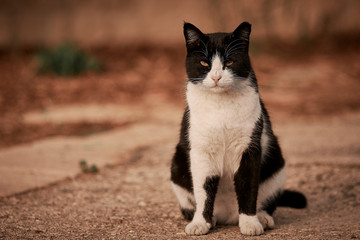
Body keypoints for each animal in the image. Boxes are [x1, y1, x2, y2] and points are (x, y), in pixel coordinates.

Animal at [170, 21, 306, 235]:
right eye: (204, 63)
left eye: (230, 62)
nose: (216, 77)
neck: (221, 106)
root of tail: (228, 217)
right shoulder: (201, 152)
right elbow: (203, 191)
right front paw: (200, 223)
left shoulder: (248, 149)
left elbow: (247, 187)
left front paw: (250, 223)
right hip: (177, 165)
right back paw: (211, 219)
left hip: (278, 165)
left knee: (267, 201)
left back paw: (263, 218)